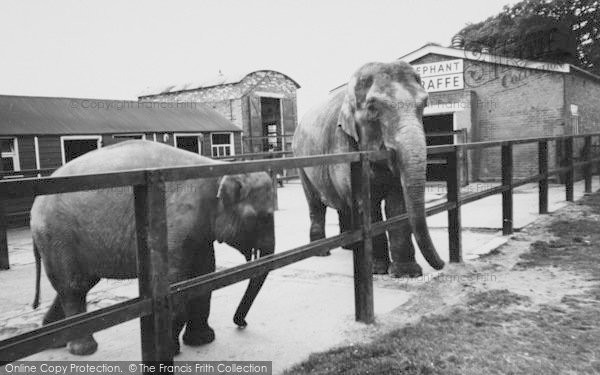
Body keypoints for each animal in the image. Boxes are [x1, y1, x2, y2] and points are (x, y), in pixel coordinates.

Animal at [29, 140, 274, 356]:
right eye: (261, 218)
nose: (242, 323)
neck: (216, 168)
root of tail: (33, 206)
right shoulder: (173, 222)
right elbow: (176, 282)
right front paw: (172, 351)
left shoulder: (200, 231)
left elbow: (204, 276)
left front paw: (202, 341)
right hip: (57, 236)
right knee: (74, 286)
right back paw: (83, 350)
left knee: (76, 285)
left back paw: (55, 343)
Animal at [294, 61, 446, 280]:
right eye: (373, 107)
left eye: (424, 104)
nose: (442, 264)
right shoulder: (345, 145)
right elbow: (367, 204)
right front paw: (377, 269)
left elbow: (397, 204)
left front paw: (406, 273)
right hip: (301, 163)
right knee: (315, 204)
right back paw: (321, 251)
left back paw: (350, 247)